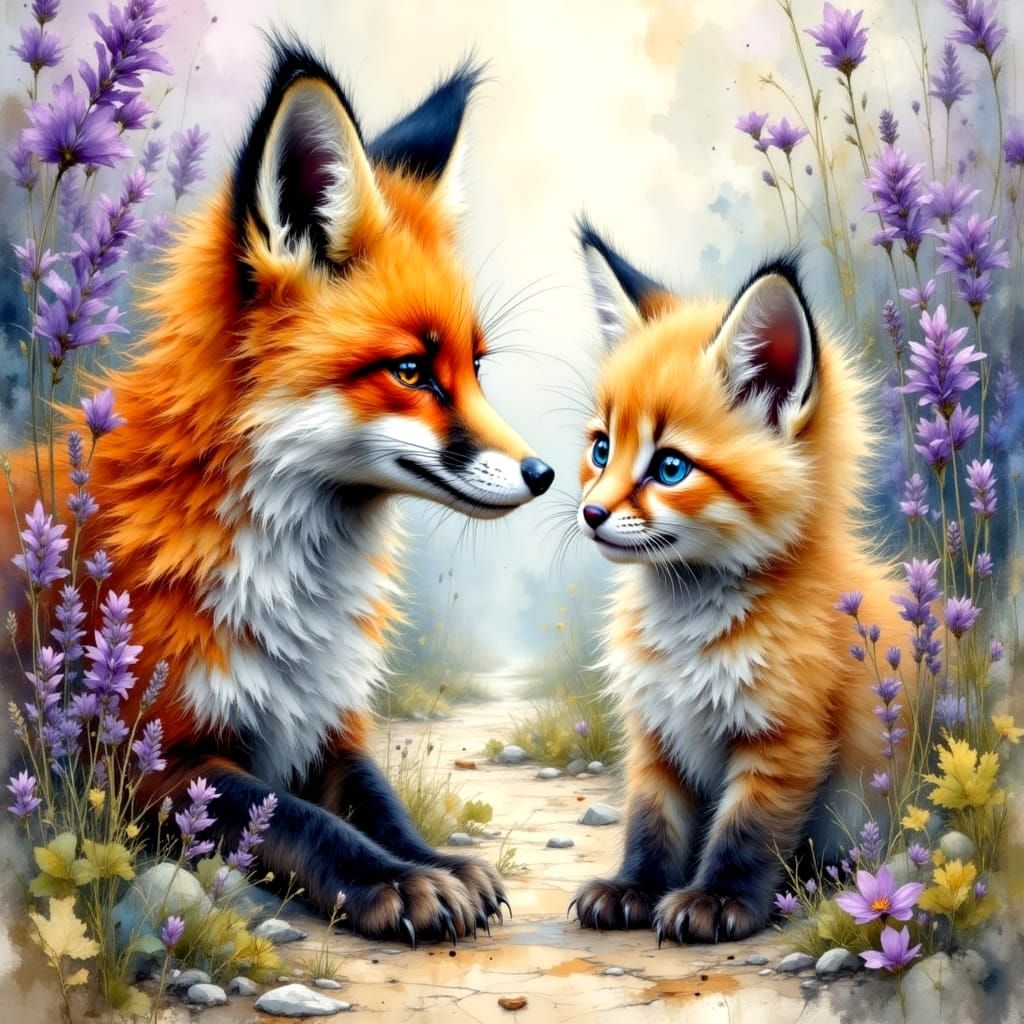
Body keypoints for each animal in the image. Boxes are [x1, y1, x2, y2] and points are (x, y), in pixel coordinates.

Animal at [9, 41, 556, 944]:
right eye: (411, 371)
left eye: (474, 367)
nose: (546, 474)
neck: (293, 604)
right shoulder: (139, 758)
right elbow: (300, 821)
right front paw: (396, 883)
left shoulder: (327, 725)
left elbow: (378, 804)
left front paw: (436, 862)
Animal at [567, 221, 910, 944]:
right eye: (602, 450)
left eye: (670, 468)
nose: (590, 513)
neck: (686, 632)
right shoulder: (656, 733)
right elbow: (651, 822)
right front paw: (633, 888)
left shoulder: (784, 737)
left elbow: (744, 832)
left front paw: (717, 900)